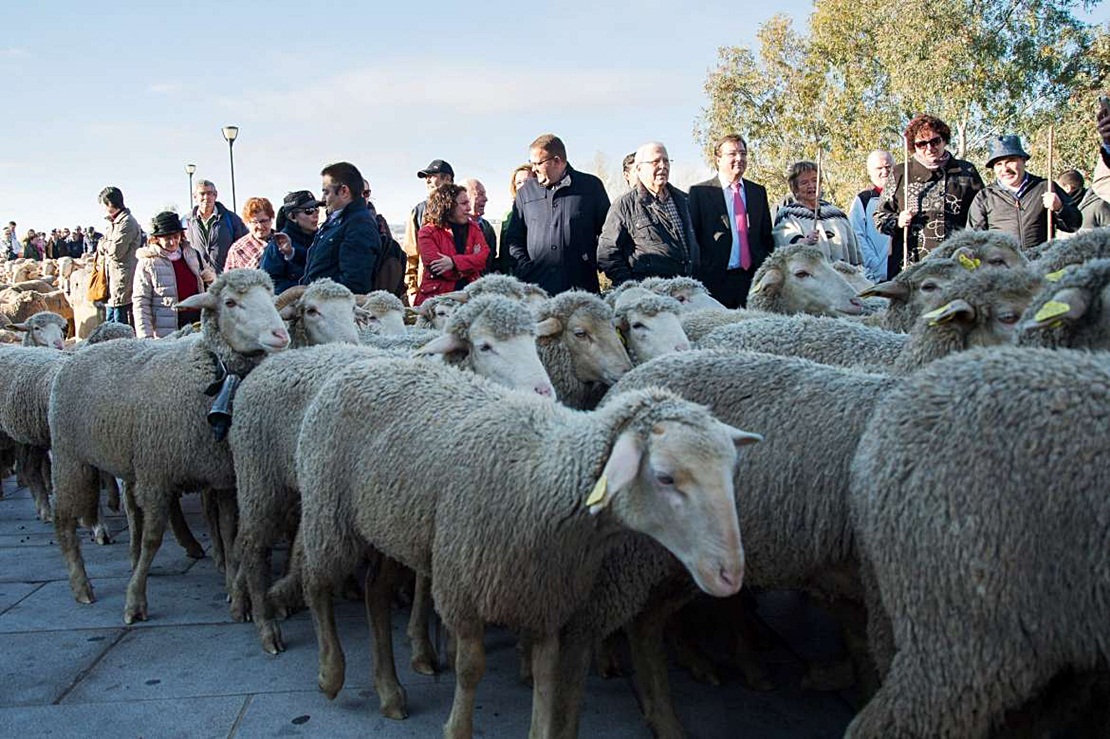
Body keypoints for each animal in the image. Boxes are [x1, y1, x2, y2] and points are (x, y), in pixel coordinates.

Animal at [48, 267, 290, 616]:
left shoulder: (221, 479)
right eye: (230, 303)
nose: (280, 335)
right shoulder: (155, 475)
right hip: (70, 457)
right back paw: (81, 585)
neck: (211, 372)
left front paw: (236, 594)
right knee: (65, 520)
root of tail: (80, 350)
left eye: (270, 297)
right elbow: (153, 538)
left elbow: (229, 534)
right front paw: (135, 600)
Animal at [230, 290, 555, 652]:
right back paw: (264, 621)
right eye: (484, 346)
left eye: (532, 339)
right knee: (251, 543)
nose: (545, 392)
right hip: (260, 476)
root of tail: (273, 362)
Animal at [293, 357, 754, 732]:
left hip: (391, 527)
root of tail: (359, 365)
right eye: (665, 477)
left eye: (731, 470)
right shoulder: (462, 588)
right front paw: (457, 729)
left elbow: (547, 681)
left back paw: (389, 691)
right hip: (330, 513)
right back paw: (330, 674)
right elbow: (470, 668)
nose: (730, 574)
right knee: (315, 583)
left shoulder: (545, 601)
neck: (548, 477)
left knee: (376, 592)